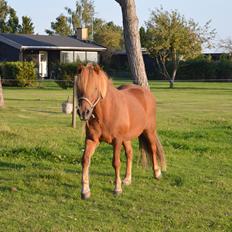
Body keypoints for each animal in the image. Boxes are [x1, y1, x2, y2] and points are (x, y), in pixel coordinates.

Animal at [77, 64, 166, 199]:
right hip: (127, 138)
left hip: (149, 131)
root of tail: (146, 92)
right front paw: (85, 191)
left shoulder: (117, 141)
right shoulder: (92, 140)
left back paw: (157, 173)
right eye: (79, 87)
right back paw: (127, 179)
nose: (83, 112)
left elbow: (116, 163)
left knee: (153, 149)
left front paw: (117, 189)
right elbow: (85, 160)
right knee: (130, 153)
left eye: (96, 88)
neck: (107, 112)